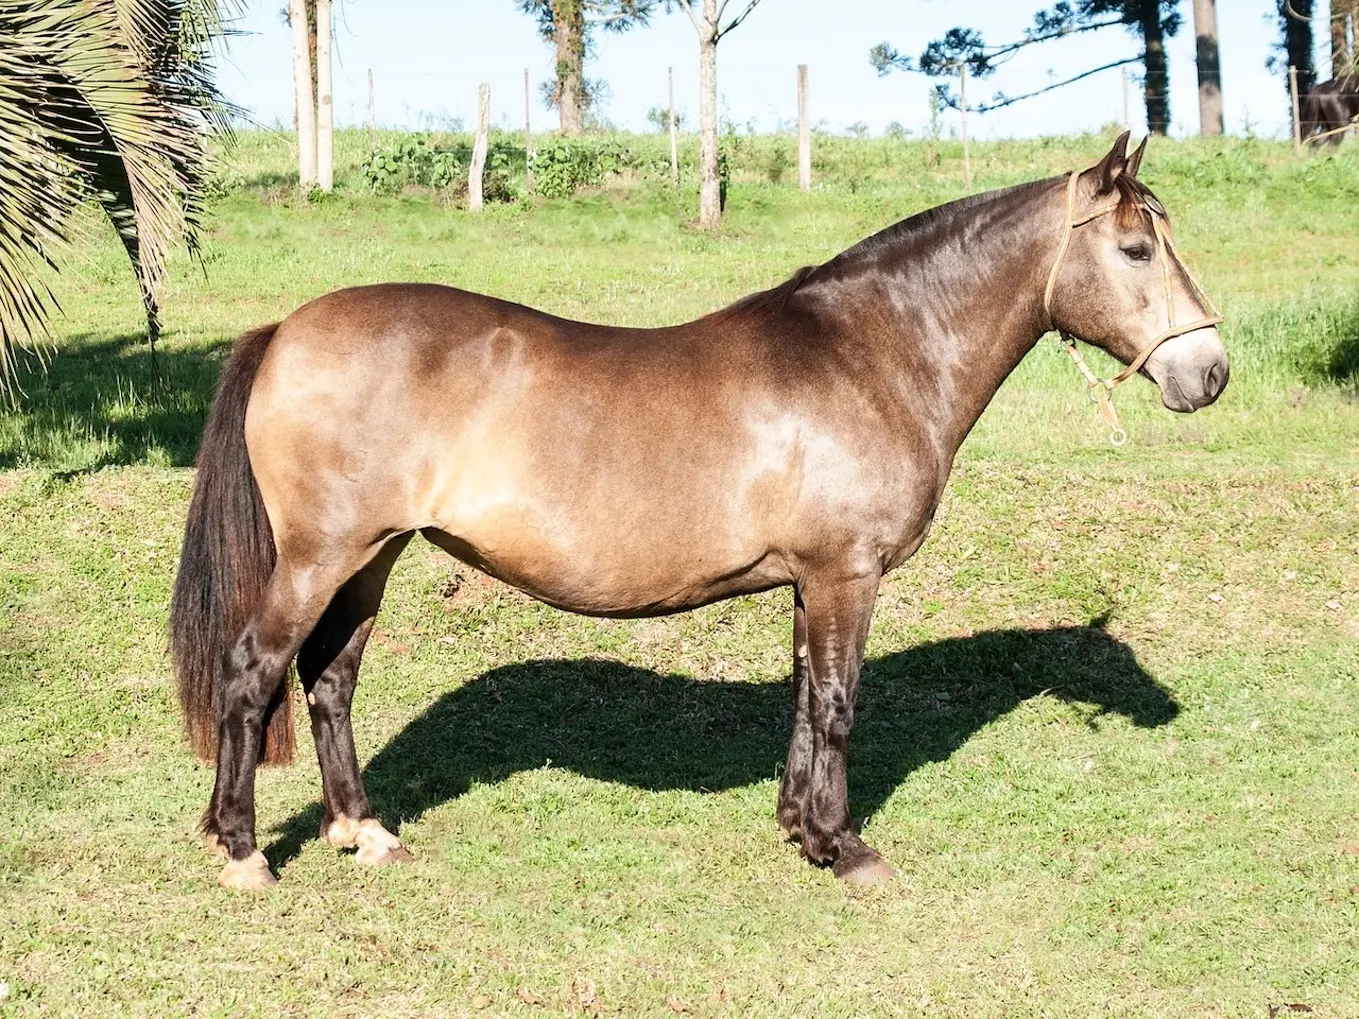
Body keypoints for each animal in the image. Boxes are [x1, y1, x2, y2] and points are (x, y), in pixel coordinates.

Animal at [169, 131, 1233, 891]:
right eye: (1136, 247)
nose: (1210, 373)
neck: (872, 351)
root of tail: (286, 328)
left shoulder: (810, 580)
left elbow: (806, 697)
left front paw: (800, 828)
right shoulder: (845, 573)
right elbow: (839, 702)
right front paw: (846, 848)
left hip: (374, 554)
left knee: (329, 679)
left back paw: (363, 829)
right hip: (322, 554)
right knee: (253, 670)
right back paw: (242, 850)